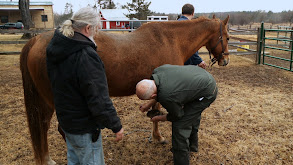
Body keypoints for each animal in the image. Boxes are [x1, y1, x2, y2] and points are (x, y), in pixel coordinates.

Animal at [20, 15, 230, 165]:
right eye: (227, 37)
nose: (225, 60)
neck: (171, 40)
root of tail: (36, 41)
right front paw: (159, 137)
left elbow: (154, 111)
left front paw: (155, 135)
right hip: (52, 102)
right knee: (54, 129)